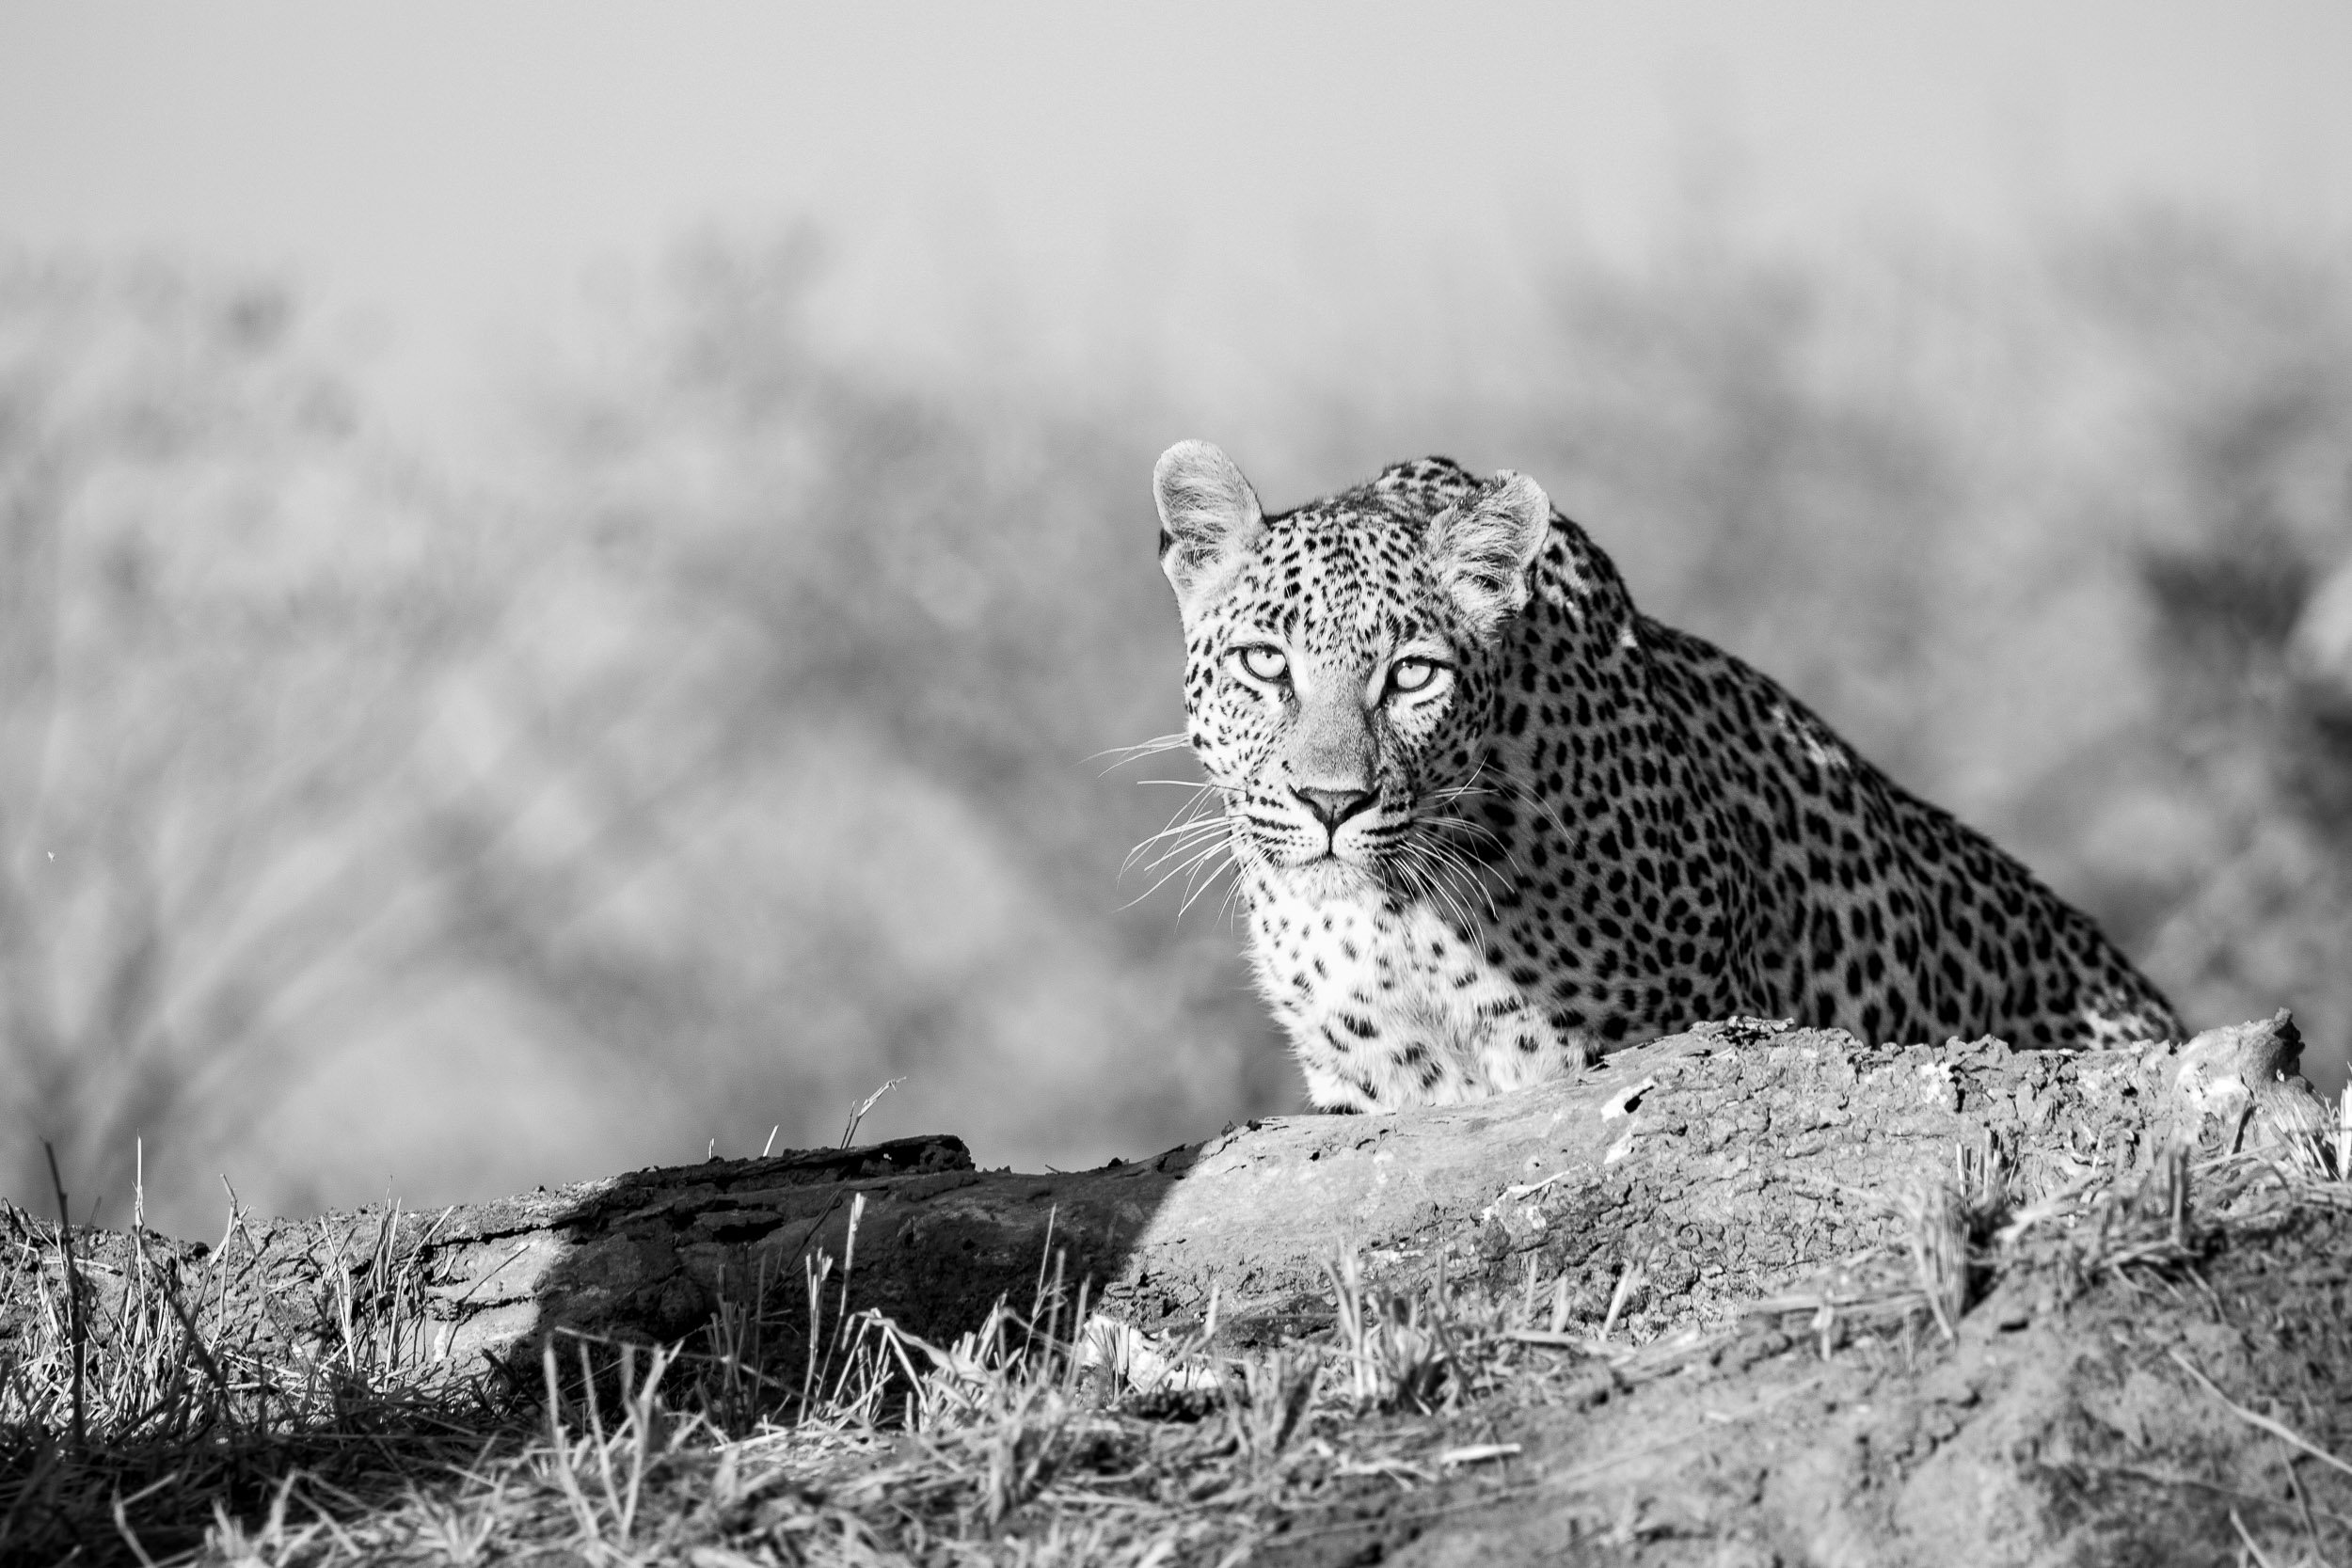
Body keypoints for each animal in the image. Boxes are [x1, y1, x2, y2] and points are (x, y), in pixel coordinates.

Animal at [1150, 439, 2183, 1113]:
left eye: (1410, 675)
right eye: (1263, 663)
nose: (1332, 801)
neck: (1398, 919)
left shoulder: (1660, 1031)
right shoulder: (1372, 1083)